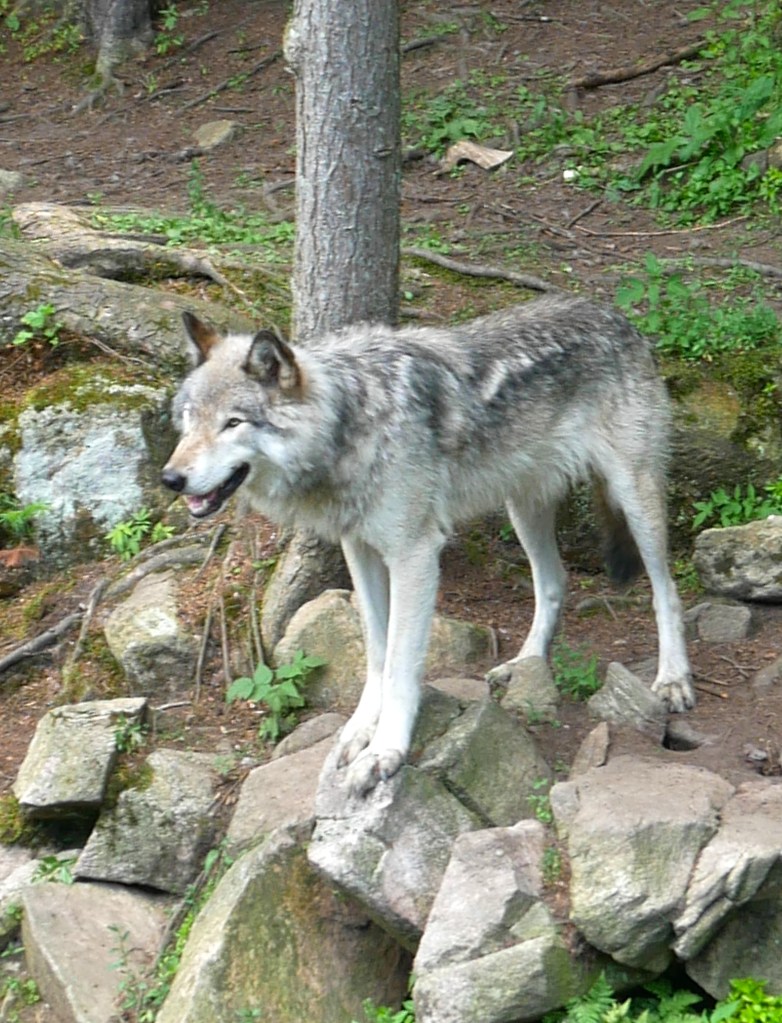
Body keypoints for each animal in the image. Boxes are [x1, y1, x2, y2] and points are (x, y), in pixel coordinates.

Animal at [161, 296, 693, 795]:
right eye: (188, 419)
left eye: (233, 423)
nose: (170, 478)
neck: (351, 421)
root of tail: (614, 314)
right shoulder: (360, 551)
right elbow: (376, 652)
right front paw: (360, 729)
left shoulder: (413, 555)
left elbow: (400, 662)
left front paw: (385, 752)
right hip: (523, 508)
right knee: (553, 582)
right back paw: (525, 664)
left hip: (634, 496)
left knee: (665, 589)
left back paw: (672, 680)